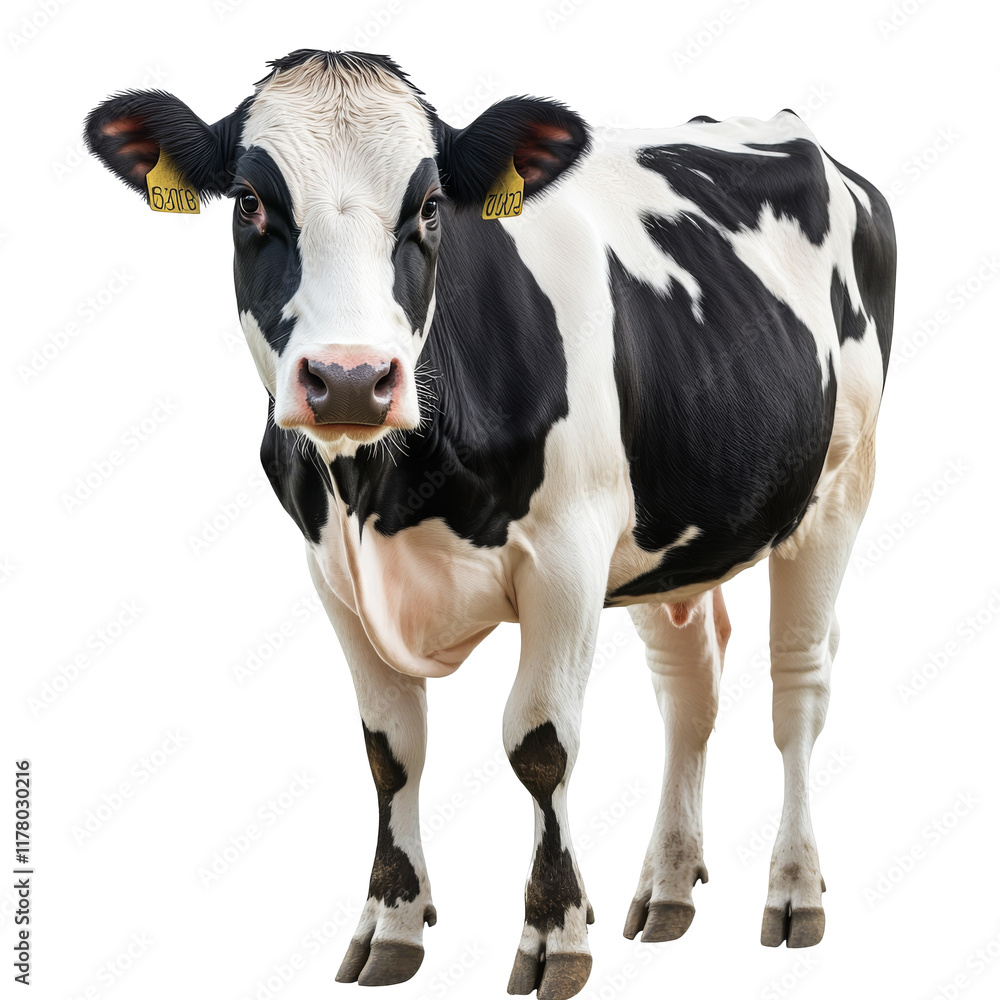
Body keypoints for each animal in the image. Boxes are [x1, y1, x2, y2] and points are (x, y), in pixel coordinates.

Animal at [85, 49, 895, 1000]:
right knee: (689, 690)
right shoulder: (331, 572)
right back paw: (666, 888)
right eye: (250, 201)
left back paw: (795, 891)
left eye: (431, 205)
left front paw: (556, 936)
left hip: (839, 485)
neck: (383, 491)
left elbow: (540, 743)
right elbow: (391, 750)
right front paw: (391, 926)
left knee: (797, 689)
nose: (351, 379)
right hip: (674, 526)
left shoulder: (569, 556)